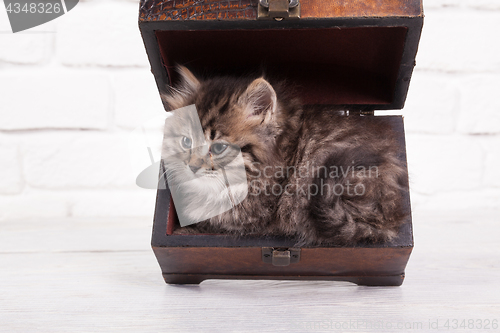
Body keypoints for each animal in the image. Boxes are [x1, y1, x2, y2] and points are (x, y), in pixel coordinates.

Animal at [162, 66, 408, 245]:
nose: (192, 167)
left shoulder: (249, 216)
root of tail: (394, 216)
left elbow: (210, 220)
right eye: (186, 141)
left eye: (219, 148)